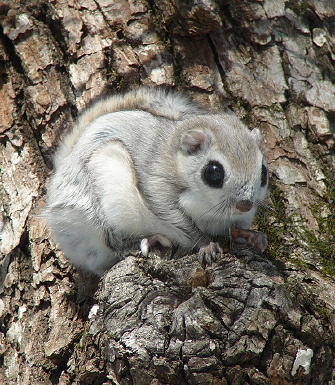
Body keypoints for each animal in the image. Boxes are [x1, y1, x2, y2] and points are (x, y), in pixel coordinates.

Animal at [44, 87, 268, 274]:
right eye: (214, 172)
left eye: (264, 171)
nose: (245, 204)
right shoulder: (158, 184)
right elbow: (179, 221)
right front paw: (207, 244)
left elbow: (236, 227)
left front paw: (254, 236)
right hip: (100, 207)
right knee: (112, 245)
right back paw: (147, 240)